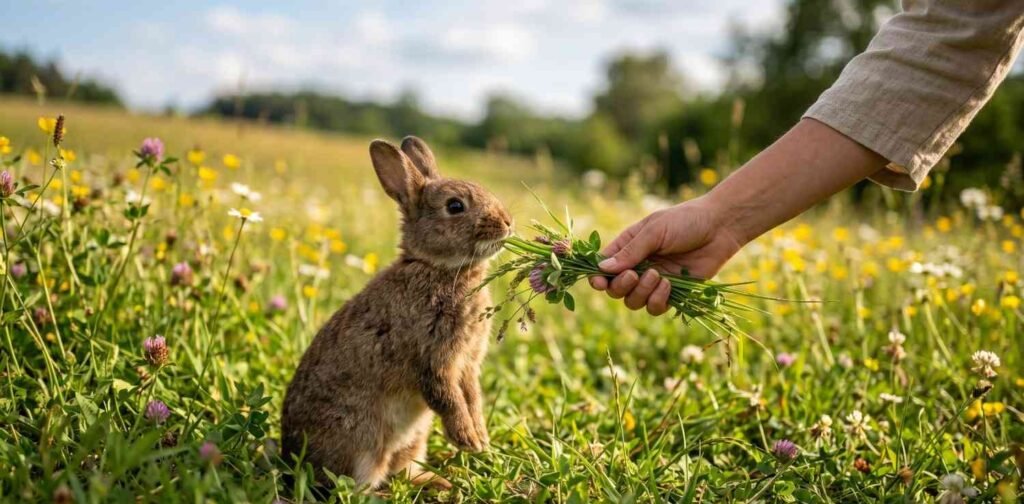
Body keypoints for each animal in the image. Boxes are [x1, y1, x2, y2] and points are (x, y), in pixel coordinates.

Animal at [281, 136, 513, 490]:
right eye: (455, 206)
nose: (507, 222)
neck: (437, 268)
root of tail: (289, 457)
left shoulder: (468, 363)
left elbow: (472, 398)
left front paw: (481, 438)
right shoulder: (433, 357)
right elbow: (447, 397)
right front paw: (468, 440)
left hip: (414, 439)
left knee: (401, 471)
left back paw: (441, 482)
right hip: (362, 441)